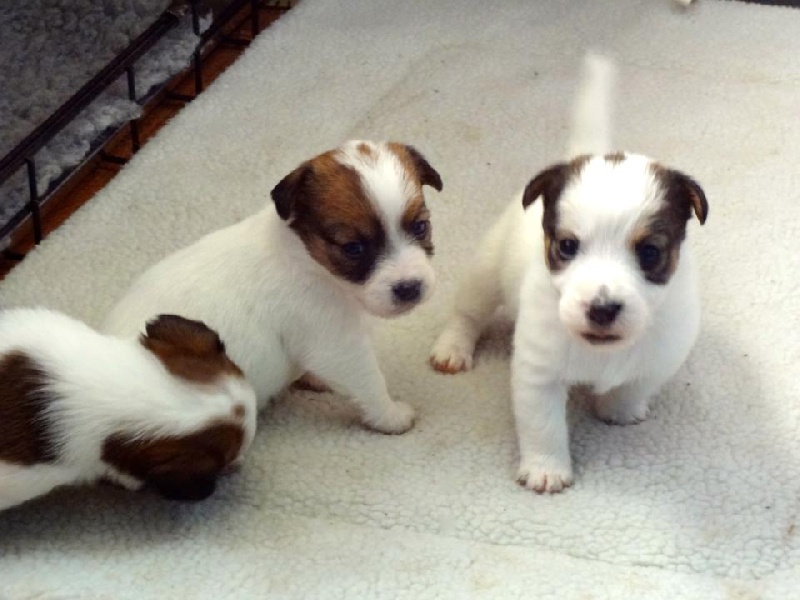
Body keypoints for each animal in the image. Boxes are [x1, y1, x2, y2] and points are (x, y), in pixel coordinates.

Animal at [104, 141, 444, 436]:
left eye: (420, 227)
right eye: (354, 248)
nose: (409, 287)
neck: (309, 261)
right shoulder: (339, 348)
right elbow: (371, 385)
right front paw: (392, 417)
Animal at [432, 52, 708, 492]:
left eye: (649, 252)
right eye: (566, 246)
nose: (602, 310)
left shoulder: (662, 356)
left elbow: (633, 386)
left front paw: (618, 409)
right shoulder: (538, 373)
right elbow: (543, 426)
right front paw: (547, 469)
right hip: (486, 271)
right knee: (468, 313)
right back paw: (453, 348)